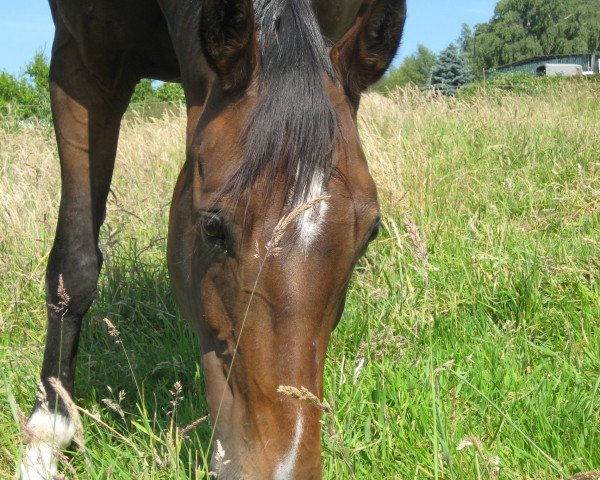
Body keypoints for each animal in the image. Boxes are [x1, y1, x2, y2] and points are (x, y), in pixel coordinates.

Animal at [22, 0, 408, 480]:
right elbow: (73, 266)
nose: (284, 466)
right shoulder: (82, 62)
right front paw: (45, 440)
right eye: (211, 227)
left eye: (370, 233)